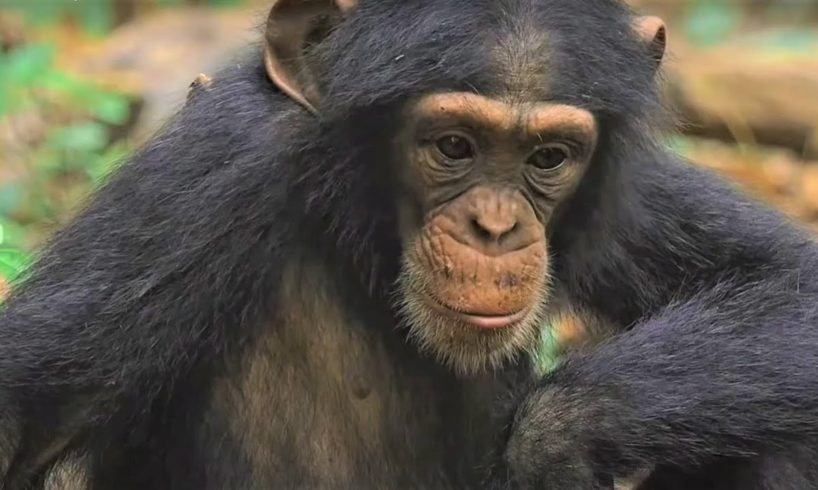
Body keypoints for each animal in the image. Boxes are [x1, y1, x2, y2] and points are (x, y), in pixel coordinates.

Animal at [1, 0, 818, 489]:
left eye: (549, 157)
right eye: (453, 145)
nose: (497, 227)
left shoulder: (625, 190)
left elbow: (792, 279)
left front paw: (563, 429)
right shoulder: (217, 167)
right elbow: (31, 404)